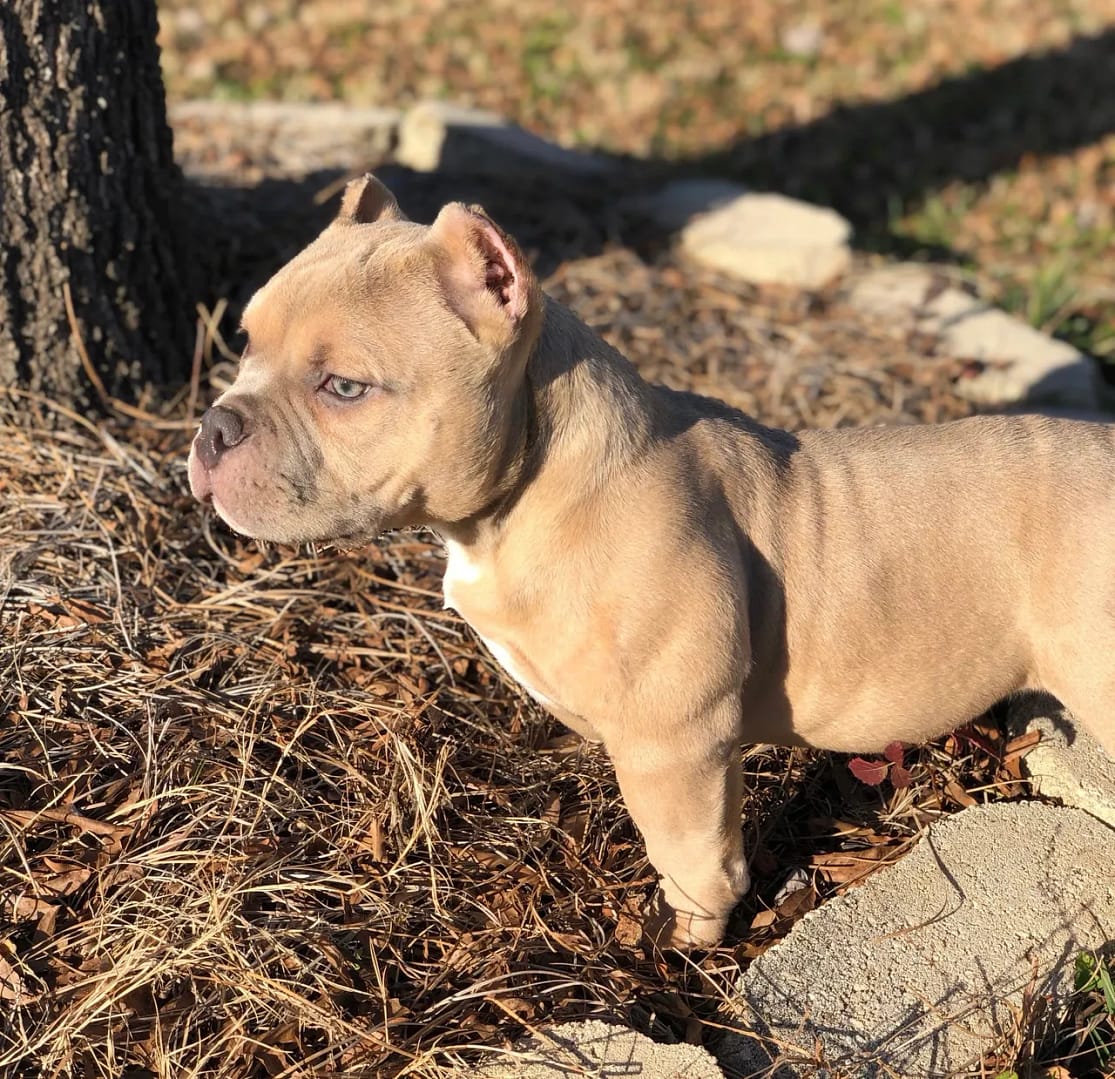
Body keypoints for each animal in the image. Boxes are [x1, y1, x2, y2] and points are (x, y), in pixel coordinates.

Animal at [189, 172, 1115, 949]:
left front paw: (686, 945)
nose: (212, 426)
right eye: (244, 342)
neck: (527, 483)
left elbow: (694, 858)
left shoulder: (676, 744)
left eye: (344, 387)